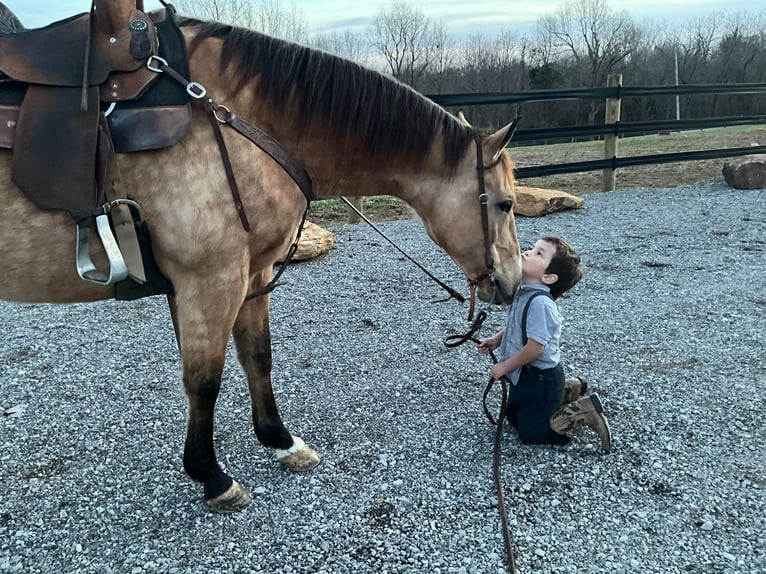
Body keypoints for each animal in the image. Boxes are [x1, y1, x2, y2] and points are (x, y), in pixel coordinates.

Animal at [0, 4, 524, 516]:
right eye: (505, 204)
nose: (514, 282)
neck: (233, 122)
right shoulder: (211, 281)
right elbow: (204, 381)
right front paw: (212, 477)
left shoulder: (251, 274)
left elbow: (258, 356)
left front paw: (281, 441)